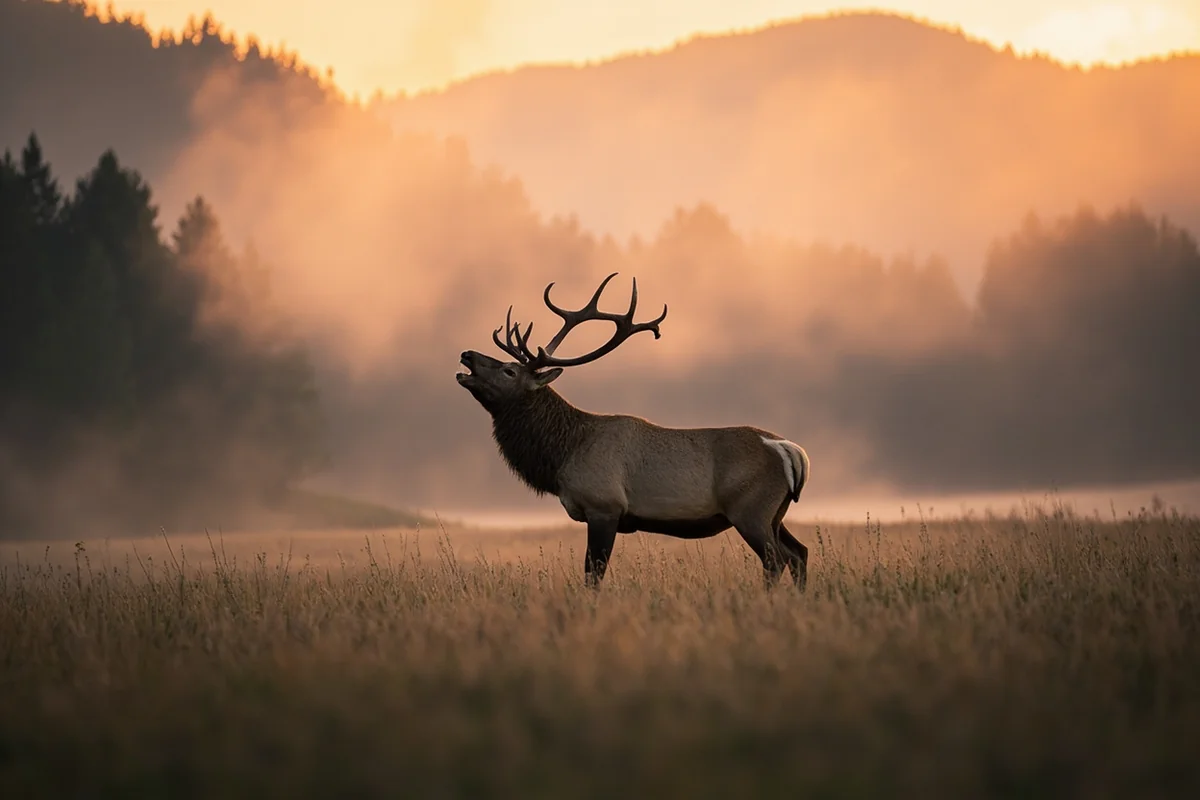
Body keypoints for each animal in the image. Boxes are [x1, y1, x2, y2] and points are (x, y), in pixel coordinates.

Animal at [455, 273, 810, 589]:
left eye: (509, 370)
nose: (466, 354)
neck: (562, 455)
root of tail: (791, 451)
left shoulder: (604, 505)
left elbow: (593, 575)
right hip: (775, 512)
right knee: (800, 553)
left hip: (750, 507)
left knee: (777, 559)